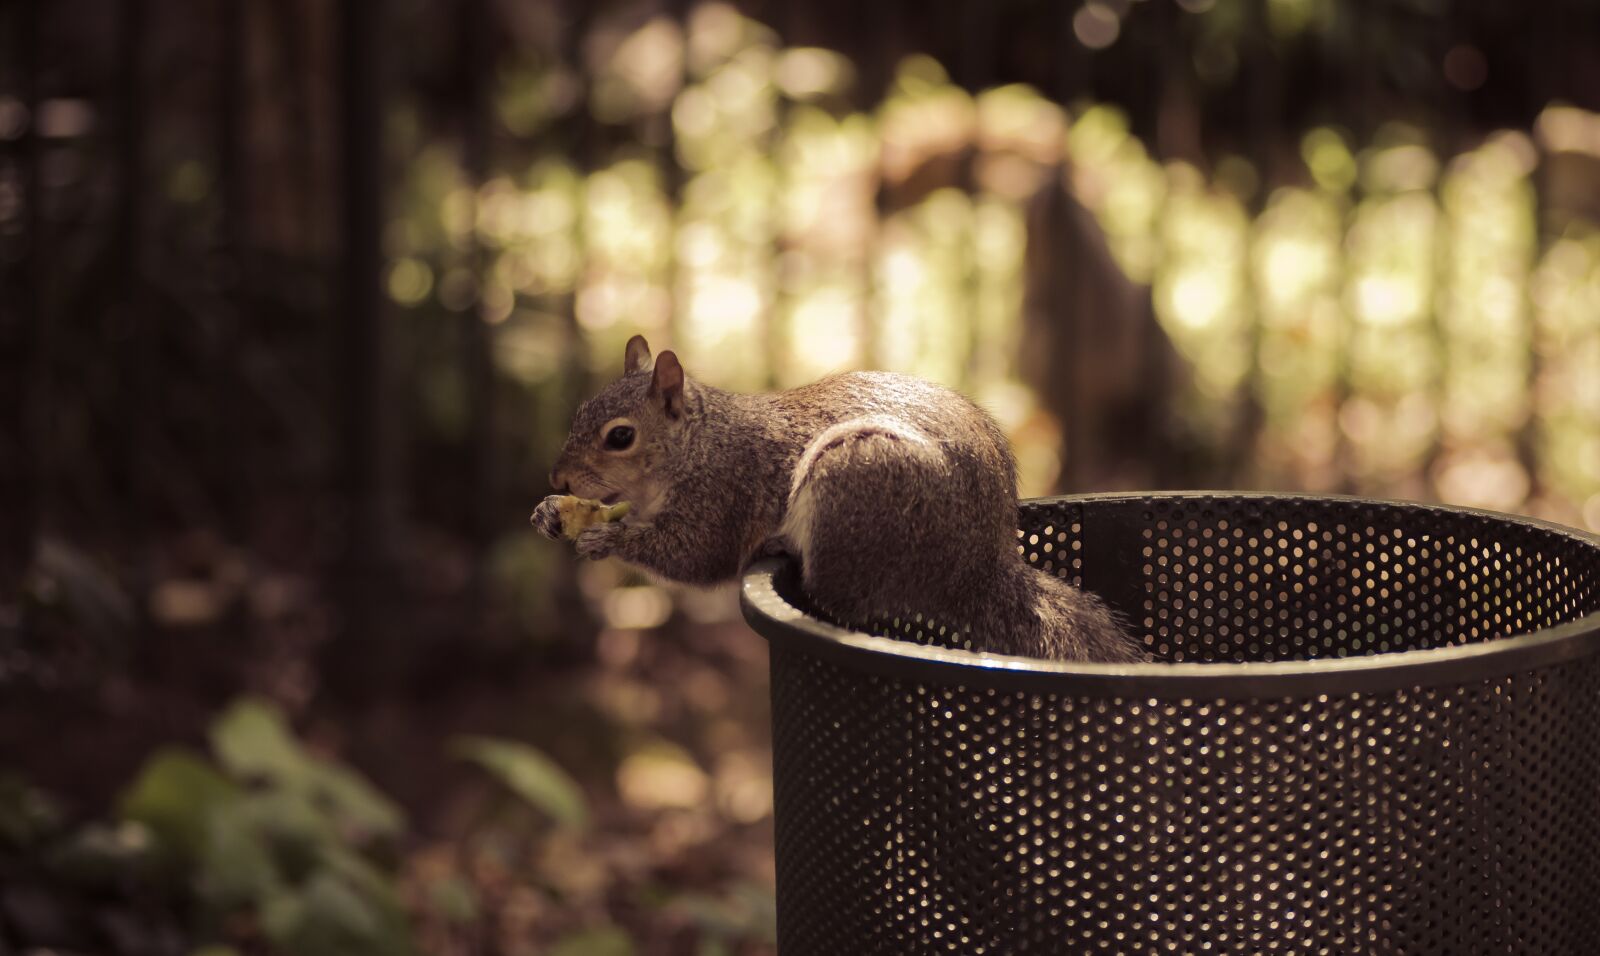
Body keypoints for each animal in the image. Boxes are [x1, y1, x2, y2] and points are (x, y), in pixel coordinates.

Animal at [531, 337, 1145, 668]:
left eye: (620, 436)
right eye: (579, 411)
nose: (556, 475)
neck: (699, 444)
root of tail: (974, 566)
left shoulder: (722, 495)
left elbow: (694, 556)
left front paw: (605, 537)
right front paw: (549, 513)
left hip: (852, 480)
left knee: (839, 600)